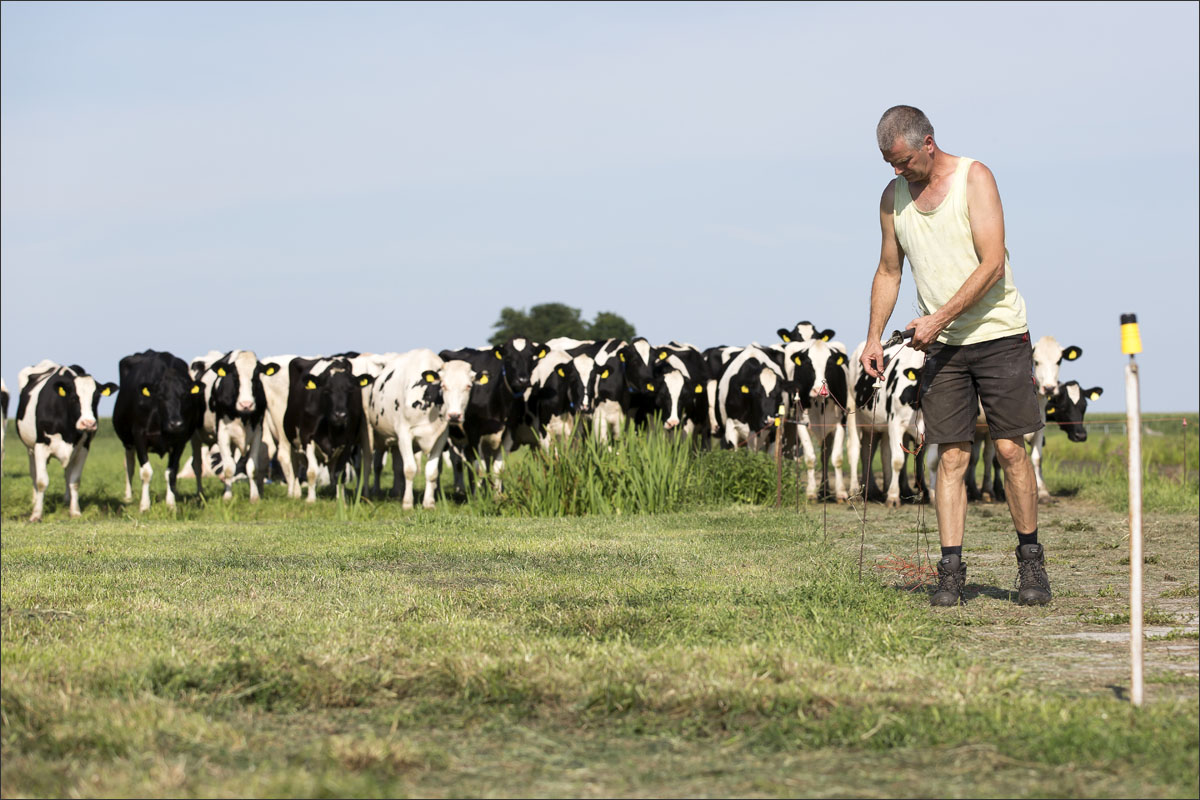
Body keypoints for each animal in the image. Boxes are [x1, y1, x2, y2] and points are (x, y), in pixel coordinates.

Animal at [112, 350, 206, 513]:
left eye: (185, 396)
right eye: (161, 396)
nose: (176, 424)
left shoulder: (180, 441)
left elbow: (172, 473)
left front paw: (171, 505)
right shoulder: (139, 436)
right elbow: (145, 472)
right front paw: (144, 506)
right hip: (128, 441)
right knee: (129, 466)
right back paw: (128, 497)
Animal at [282, 355, 372, 501]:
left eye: (350, 390)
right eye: (326, 390)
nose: (340, 415)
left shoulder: (347, 441)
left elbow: (340, 474)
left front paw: (341, 500)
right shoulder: (307, 437)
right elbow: (312, 471)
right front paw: (311, 500)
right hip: (292, 440)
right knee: (295, 466)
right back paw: (295, 493)